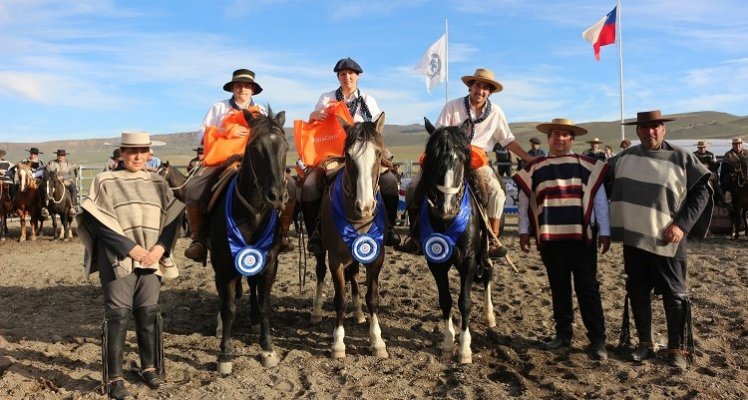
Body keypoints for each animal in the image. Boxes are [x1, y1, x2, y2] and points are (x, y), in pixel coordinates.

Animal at [207, 108, 290, 374]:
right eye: (254, 148)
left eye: (285, 146)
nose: (277, 196)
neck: (252, 214)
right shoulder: (224, 265)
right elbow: (229, 307)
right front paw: (225, 354)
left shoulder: (270, 262)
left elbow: (265, 304)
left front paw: (267, 348)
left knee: (252, 286)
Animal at [312, 113, 388, 360]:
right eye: (348, 155)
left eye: (378, 153)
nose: (365, 206)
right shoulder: (335, 259)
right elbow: (340, 299)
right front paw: (338, 343)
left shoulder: (377, 258)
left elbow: (372, 297)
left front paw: (377, 341)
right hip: (320, 251)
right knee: (320, 273)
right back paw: (316, 312)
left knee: (353, 273)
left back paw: (358, 313)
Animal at [414, 118, 496, 362]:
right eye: (432, 158)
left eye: (461, 159)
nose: (446, 207)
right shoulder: (436, 262)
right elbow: (446, 300)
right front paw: (448, 342)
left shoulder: (469, 260)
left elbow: (464, 301)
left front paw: (465, 348)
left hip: (486, 251)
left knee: (488, 274)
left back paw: (490, 316)